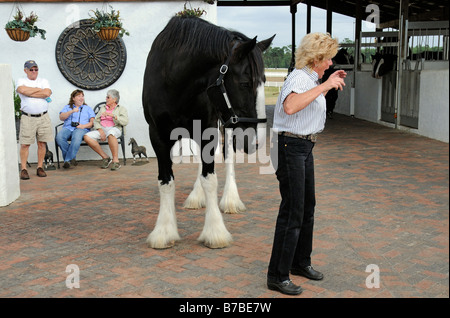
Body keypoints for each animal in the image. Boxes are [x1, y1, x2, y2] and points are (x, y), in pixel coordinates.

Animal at [142, 16, 272, 250]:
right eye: (245, 83)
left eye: (264, 82)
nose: (255, 142)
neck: (174, 80)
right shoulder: (157, 136)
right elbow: (166, 181)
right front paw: (164, 231)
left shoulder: (208, 130)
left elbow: (210, 179)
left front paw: (215, 231)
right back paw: (196, 196)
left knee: (228, 159)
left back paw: (230, 199)